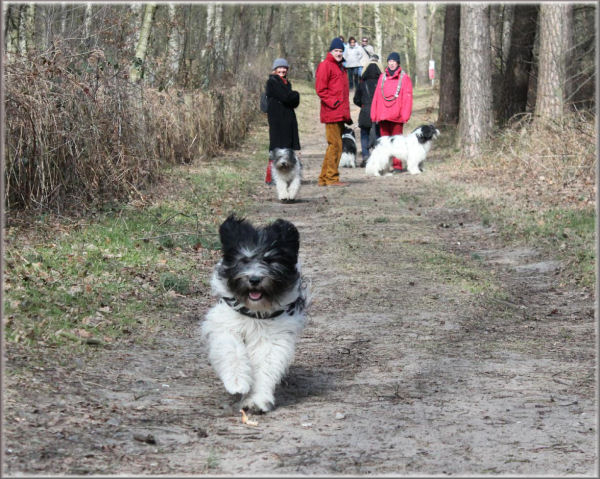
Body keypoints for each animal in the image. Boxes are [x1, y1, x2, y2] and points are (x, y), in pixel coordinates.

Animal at [200, 216, 308, 414]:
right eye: (243, 260)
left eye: (270, 260)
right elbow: (232, 349)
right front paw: (237, 382)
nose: (254, 279)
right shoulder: (226, 324)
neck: (255, 310)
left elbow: (265, 366)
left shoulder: (273, 338)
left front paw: (256, 400)